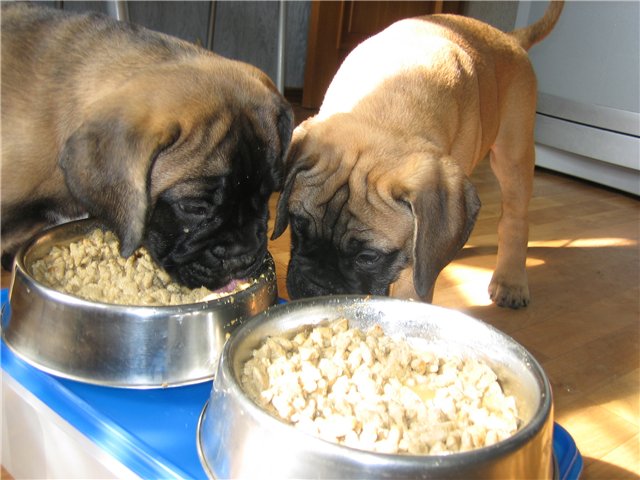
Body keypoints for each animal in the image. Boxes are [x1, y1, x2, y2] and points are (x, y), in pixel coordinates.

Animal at [272, 2, 563, 308]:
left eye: (368, 257)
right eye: (297, 225)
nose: (314, 288)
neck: (386, 111)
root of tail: (510, 38)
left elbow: (412, 284)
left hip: (514, 152)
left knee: (515, 219)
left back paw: (511, 280)